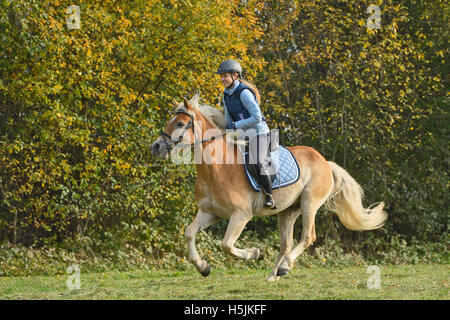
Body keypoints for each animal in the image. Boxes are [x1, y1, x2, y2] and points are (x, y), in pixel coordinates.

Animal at [151, 95, 386, 282]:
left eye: (180, 123)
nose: (156, 147)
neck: (215, 168)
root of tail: (325, 162)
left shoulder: (241, 215)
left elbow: (226, 245)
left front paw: (256, 253)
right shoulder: (210, 212)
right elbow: (189, 233)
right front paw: (203, 267)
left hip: (309, 202)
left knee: (308, 237)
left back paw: (284, 267)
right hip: (288, 211)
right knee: (286, 244)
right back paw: (274, 275)